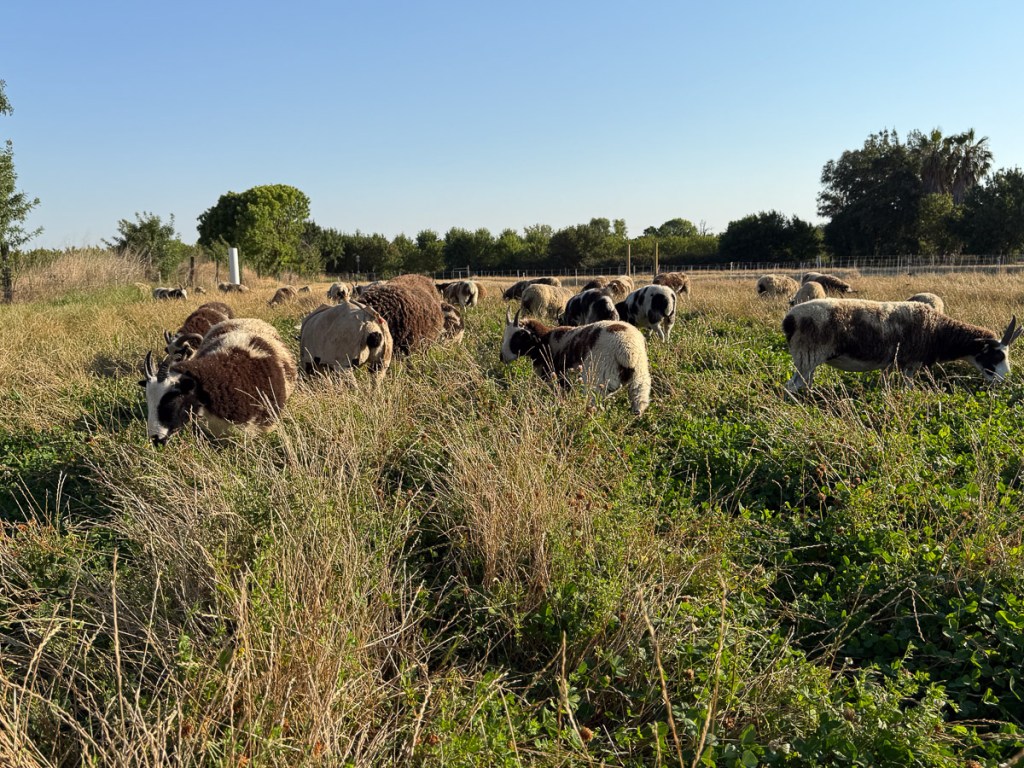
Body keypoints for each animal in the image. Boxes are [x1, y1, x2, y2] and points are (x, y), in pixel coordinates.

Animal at [500, 308, 652, 416]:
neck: (544, 341)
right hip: (640, 381)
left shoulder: (556, 378)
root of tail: (628, 350)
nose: (502, 357)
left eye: (519, 336)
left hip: (595, 381)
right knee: (638, 406)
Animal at [782, 298, 1022, 392]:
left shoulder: (891, 365)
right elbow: (909, 389)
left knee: (803, 384)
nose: (1004, 381)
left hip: (807, 361)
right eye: (997, 356)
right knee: (790, 387)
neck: (937, 331)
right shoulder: (909, 365)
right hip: (807, 355)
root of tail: (790, 319)